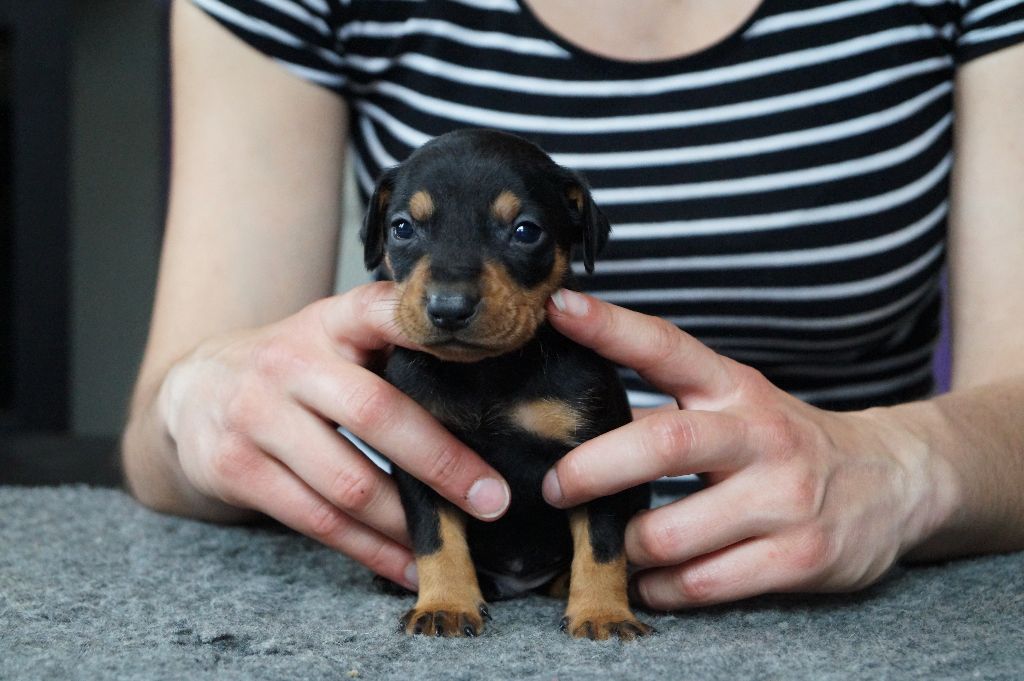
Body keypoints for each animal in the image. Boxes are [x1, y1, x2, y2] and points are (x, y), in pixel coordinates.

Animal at [362, 129, 651, 640]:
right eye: (402, 228)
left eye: (525, 231)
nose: (449, 308)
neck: (485, 372)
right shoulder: (420, 460)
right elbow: (436, 538)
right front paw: (446, 604)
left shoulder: (596, 454)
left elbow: (602, 544)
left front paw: (603, 613)